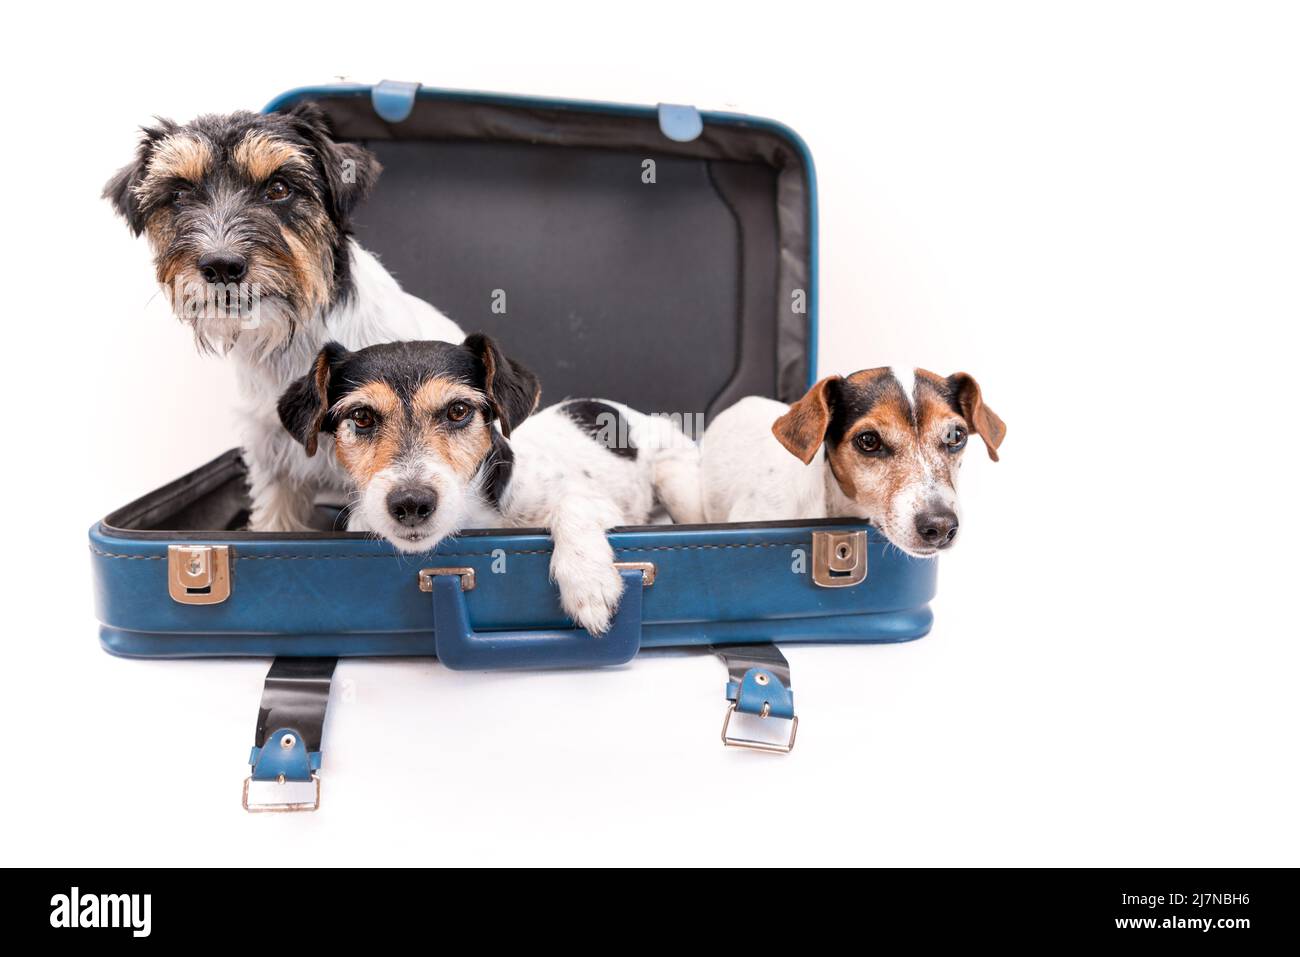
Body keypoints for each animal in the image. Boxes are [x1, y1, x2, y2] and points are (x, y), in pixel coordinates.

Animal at [276, 335, 702, 634]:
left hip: (678, 482)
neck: (473, 519)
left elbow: (572, 505)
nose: (411, 503)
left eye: (458, 410)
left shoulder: (599, 504)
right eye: (362, 417)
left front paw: (588, 584)